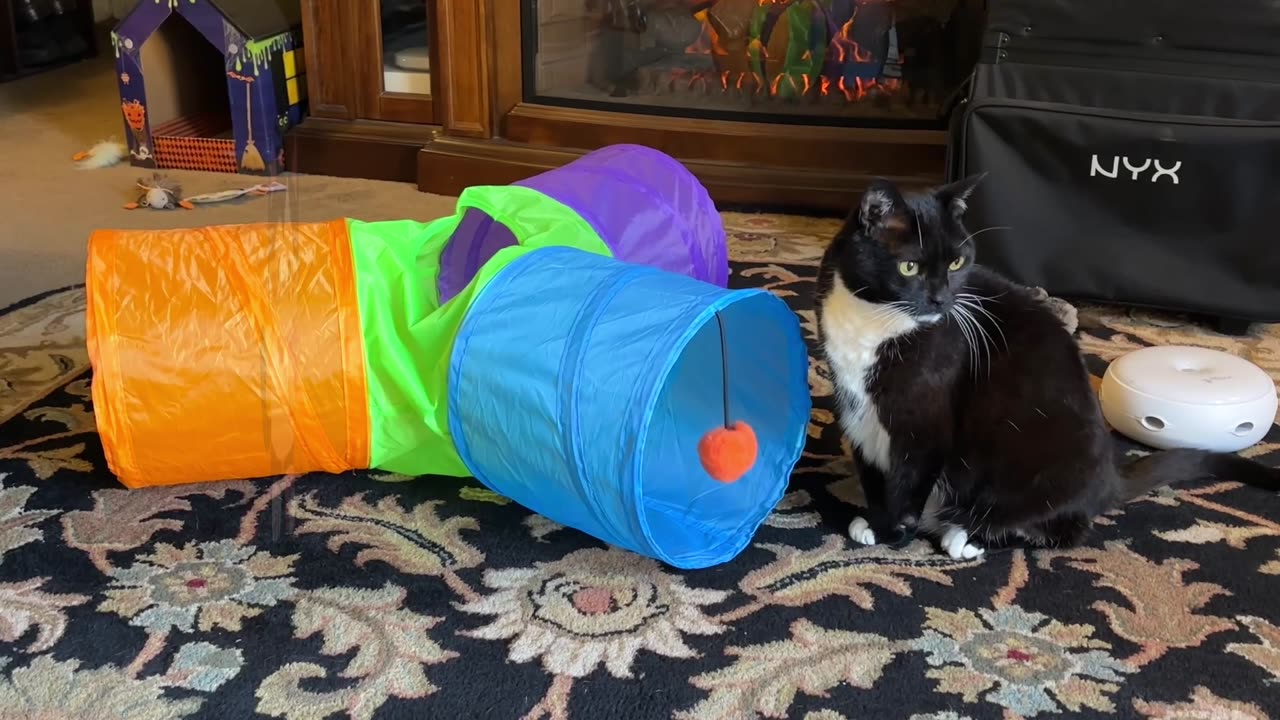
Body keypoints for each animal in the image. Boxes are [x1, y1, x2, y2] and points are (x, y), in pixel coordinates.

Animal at [814, 176, 1274, 558]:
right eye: (909, 266)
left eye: (957, 264)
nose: (942, 299)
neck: (875, 321)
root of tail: (1108, 478)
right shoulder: (854, 405)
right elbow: (873, 471)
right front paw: (876, 521)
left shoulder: (925, 418)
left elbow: (909, 480)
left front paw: (892, 532)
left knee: (1061, 530)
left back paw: (968, 535)